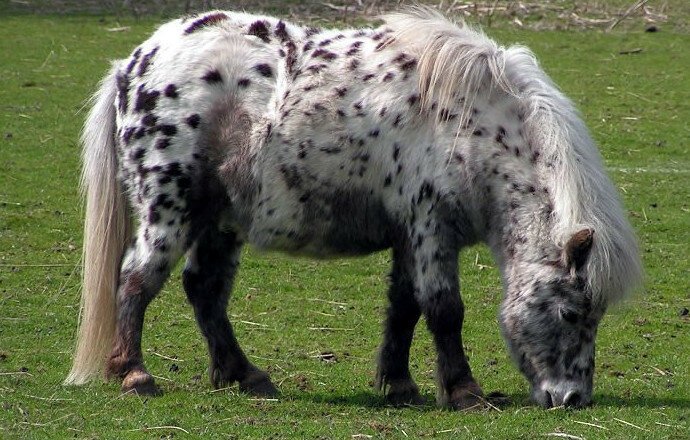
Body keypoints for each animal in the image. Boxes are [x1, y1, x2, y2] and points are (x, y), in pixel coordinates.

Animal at [64, 7, 642, 409]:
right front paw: (463, 392)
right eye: (570, 312)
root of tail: (132, 66)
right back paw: (136, 375)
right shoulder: (431, 226)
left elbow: (404, 306)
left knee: (204, 289)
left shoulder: (411, 233)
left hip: (220, 217)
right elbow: (443, 309)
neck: (475, 124)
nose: (572, 398)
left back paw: (244, 376)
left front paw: (400, 385)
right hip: (169, 207)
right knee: (136, 280)